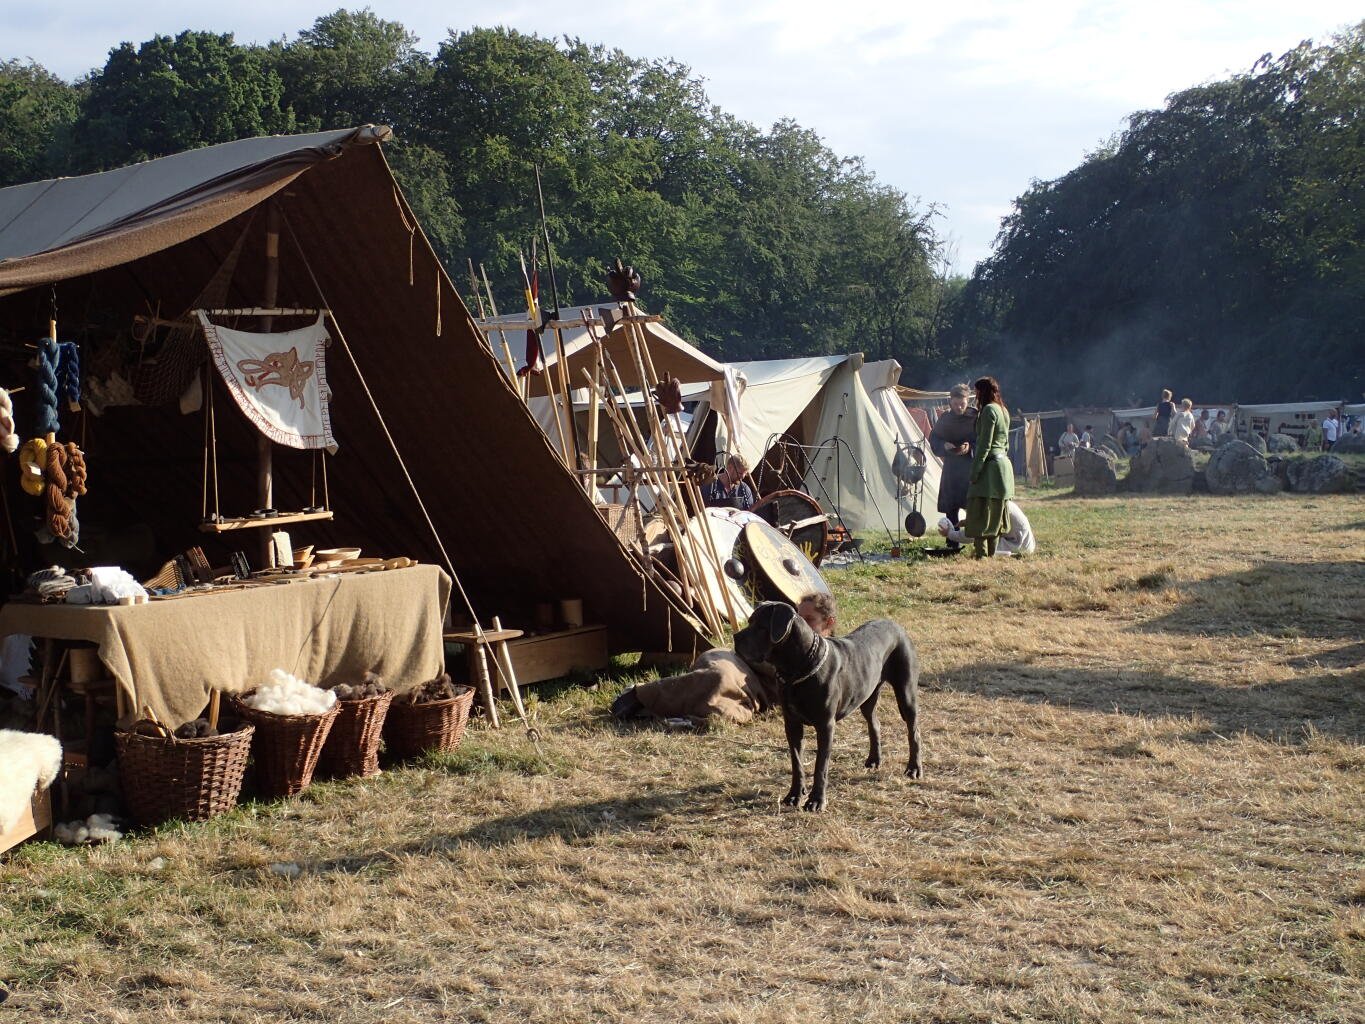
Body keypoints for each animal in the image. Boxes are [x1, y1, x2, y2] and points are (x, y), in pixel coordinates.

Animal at [737, 600, 917, 808]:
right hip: (867, 696)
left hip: (906, 695)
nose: (735, 637)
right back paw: (874, 760)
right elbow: (796, 762)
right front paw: (794, 795)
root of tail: (896, 625)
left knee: (914, 732)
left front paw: (816, 800)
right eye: (749, 622)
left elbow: (820, 765)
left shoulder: (825, 726)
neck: (797, 669)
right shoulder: (792, 724)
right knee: (875, 724)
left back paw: (914, 768)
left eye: (761, 627)